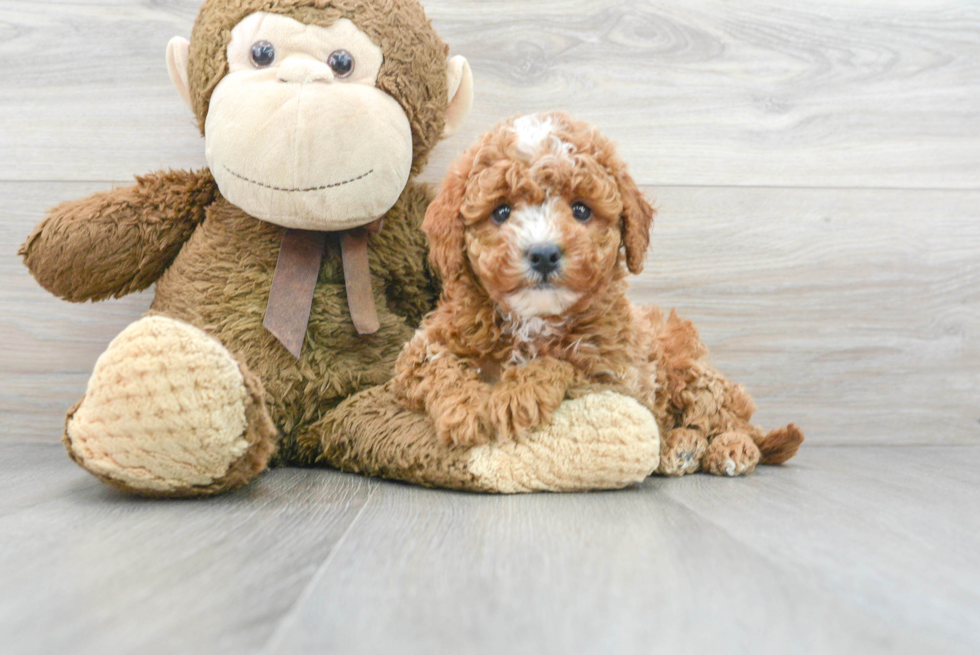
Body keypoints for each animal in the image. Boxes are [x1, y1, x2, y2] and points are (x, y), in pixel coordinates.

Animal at [392, 111, 804, 476]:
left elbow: (564, 364)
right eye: (501, 211)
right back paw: (680, 448)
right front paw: (464, 408)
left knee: (729, 421)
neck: (532, 321)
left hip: (690, 372)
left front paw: (514, 397)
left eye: (580, 210)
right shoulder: (420, 349)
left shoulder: (617, 376)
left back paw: (724, 448)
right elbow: (438, 365)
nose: (544, 253)